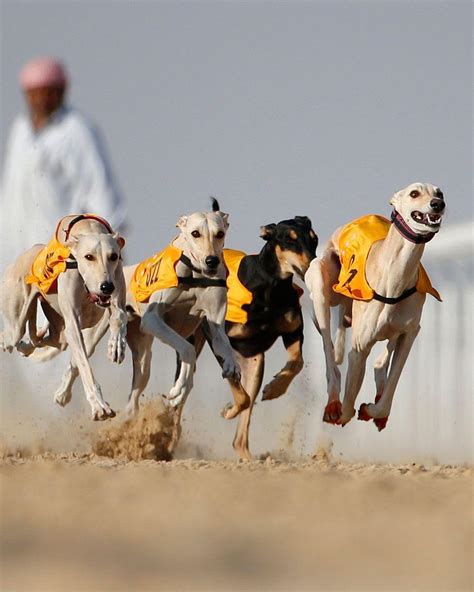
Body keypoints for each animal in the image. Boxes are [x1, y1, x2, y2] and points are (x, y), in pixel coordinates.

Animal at [0, 215, 128, 418]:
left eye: (113, 256)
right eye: (89, 256)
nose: (106, 287)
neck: (89, 229)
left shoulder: (116, 292)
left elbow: (119, 317)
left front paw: (116, 345)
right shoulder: (73, 325)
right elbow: (84, 364)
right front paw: (99, 405)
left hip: (57, 331)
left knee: (42, 340)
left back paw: (27, 346)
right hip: (17, 323)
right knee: (10, 337)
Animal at [174, 215, 318, 460]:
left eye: (314, 239)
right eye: (289, 239)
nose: (314, 265)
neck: (270, 287)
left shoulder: (292, 331)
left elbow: (296, 362)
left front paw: (275, 388)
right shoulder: (218, 337)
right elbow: (239, 392)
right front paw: (228, 410)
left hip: (255, 363)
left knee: (244, 418)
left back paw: (247, 454)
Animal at [306, 182, 446, 430]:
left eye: (439, 193)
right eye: (414, 193)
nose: (438, 204)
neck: (396, 277)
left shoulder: (410, 333)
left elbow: (390, 386)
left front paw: (372, 410)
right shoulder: (359, 348)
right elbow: (348, 406)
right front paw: (343, 411)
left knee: (381, 362)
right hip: (320, 283)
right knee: (330, 357)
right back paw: (332, 402)